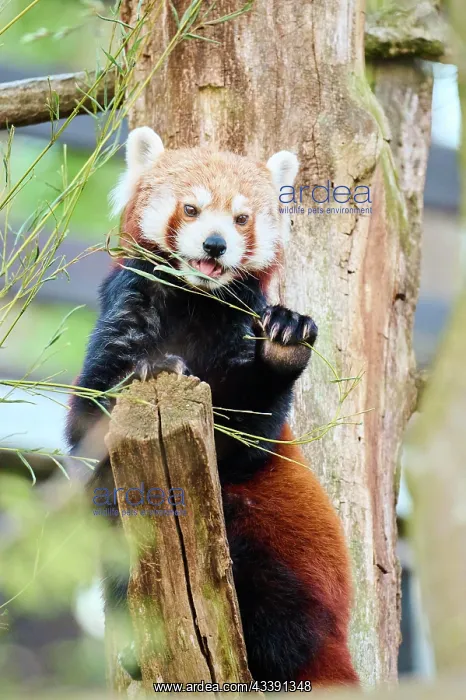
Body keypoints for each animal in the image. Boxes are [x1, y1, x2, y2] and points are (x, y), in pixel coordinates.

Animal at [66, 127, 359, 686]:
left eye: (241, 218)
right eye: (191, 209)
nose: (215, 244)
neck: (194, 300)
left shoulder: (241, 326)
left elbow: (248, 439)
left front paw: (285, 342)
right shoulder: (126, 303)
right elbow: (87, 421)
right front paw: (147, 370)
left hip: (286, 548)